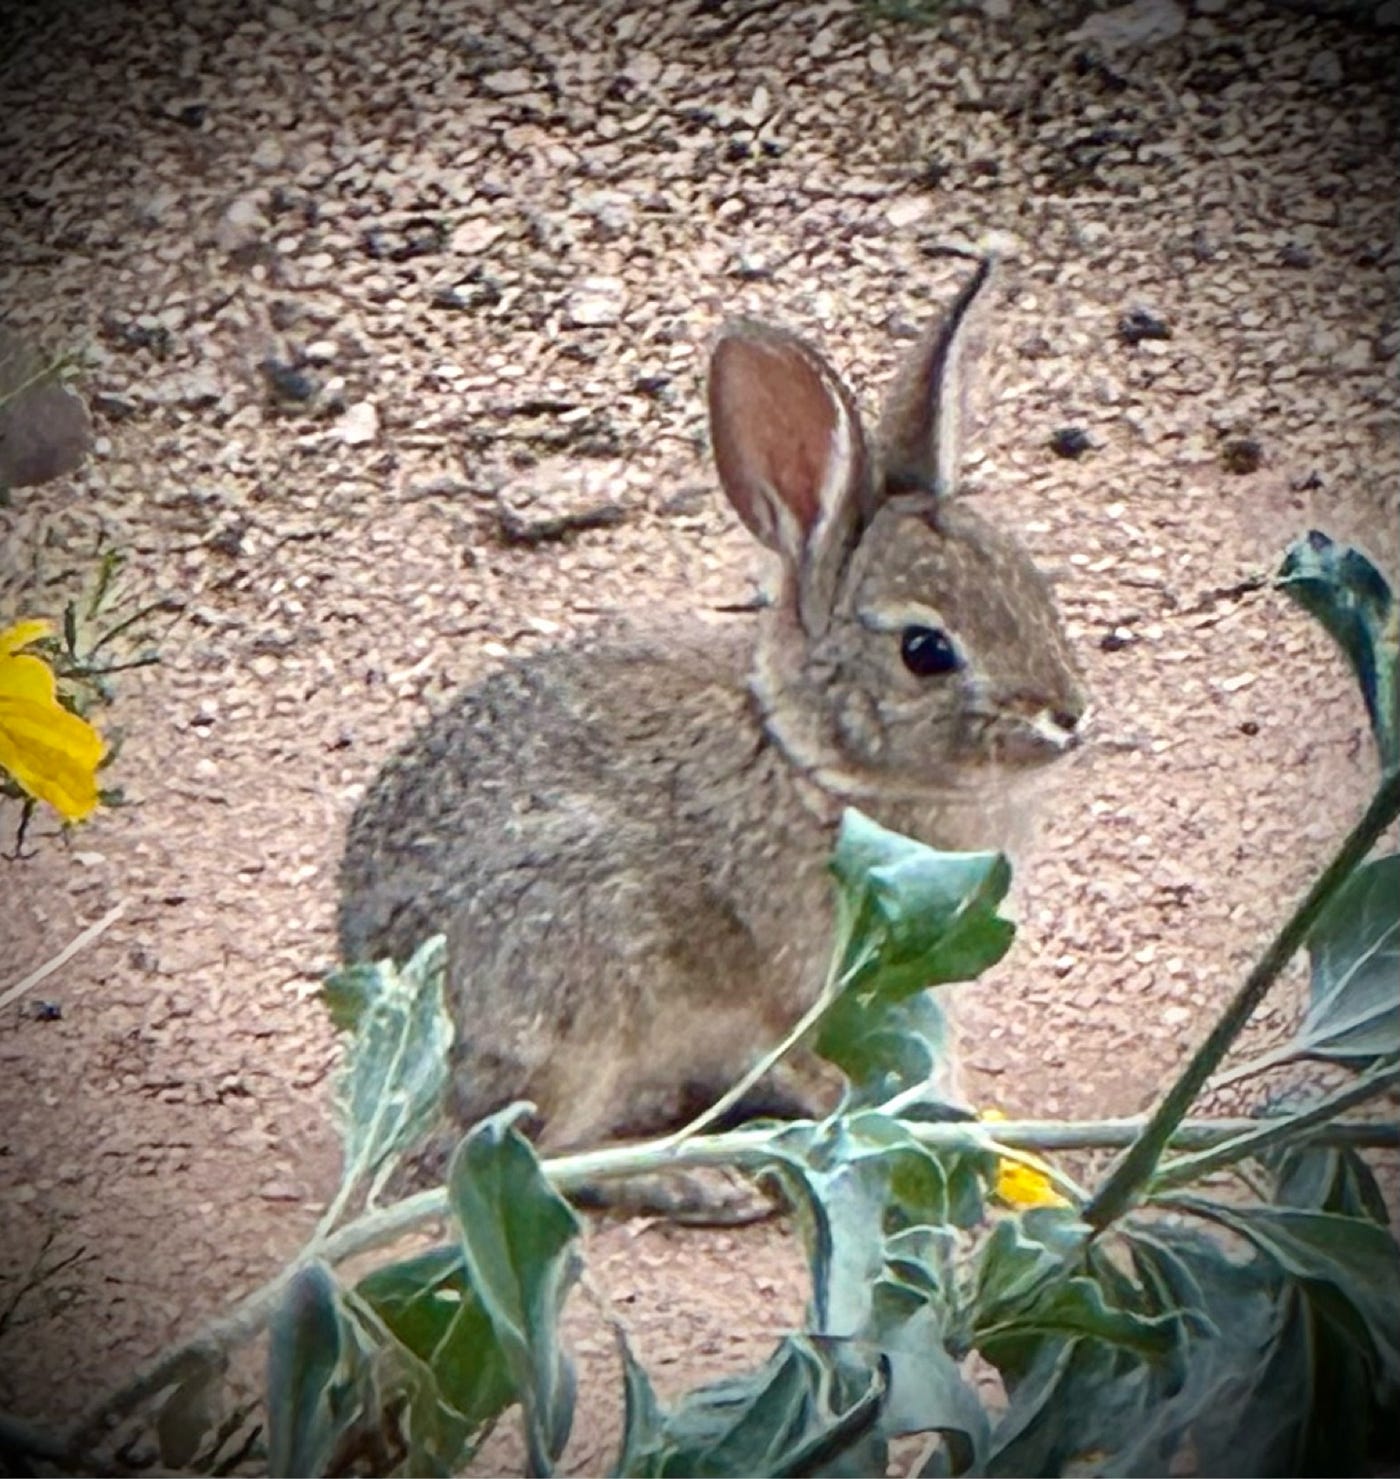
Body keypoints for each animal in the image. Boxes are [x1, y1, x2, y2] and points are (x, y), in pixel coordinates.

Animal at [337, 251, 1086, 1156]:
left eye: (1032, 583)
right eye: (926, 651)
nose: (1068, 716)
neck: (805, 754)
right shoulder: (800, 985)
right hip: (569, 1004)